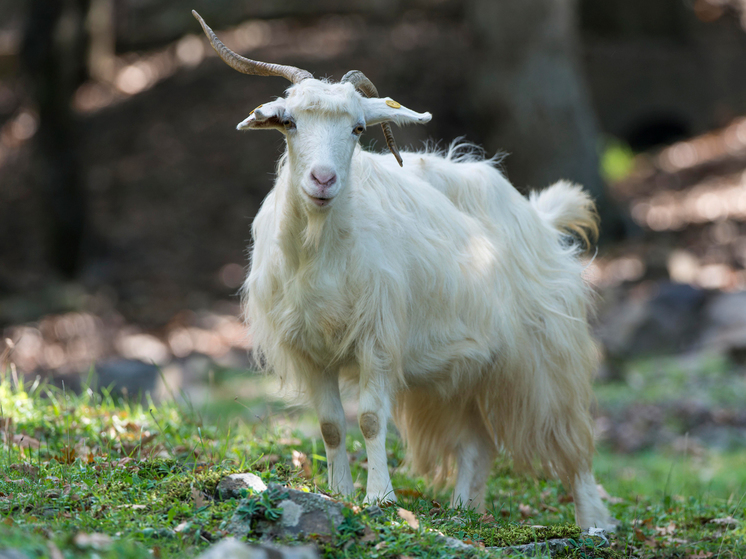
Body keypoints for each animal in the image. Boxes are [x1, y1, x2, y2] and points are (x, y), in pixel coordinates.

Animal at [195, 10, 612, 532]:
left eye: (358, 128)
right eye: (288, 123)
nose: (323, 180)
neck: (320, 253)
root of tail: (539, 216)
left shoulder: (376, 339)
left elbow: (371, 419)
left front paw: (380, 499)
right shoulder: (310, 351)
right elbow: (331, 426)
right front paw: (339, 493)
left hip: (544, 357)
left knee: (574, 444)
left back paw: (594, 522)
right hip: (464, 369)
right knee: (477, 444)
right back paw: (462, 511)